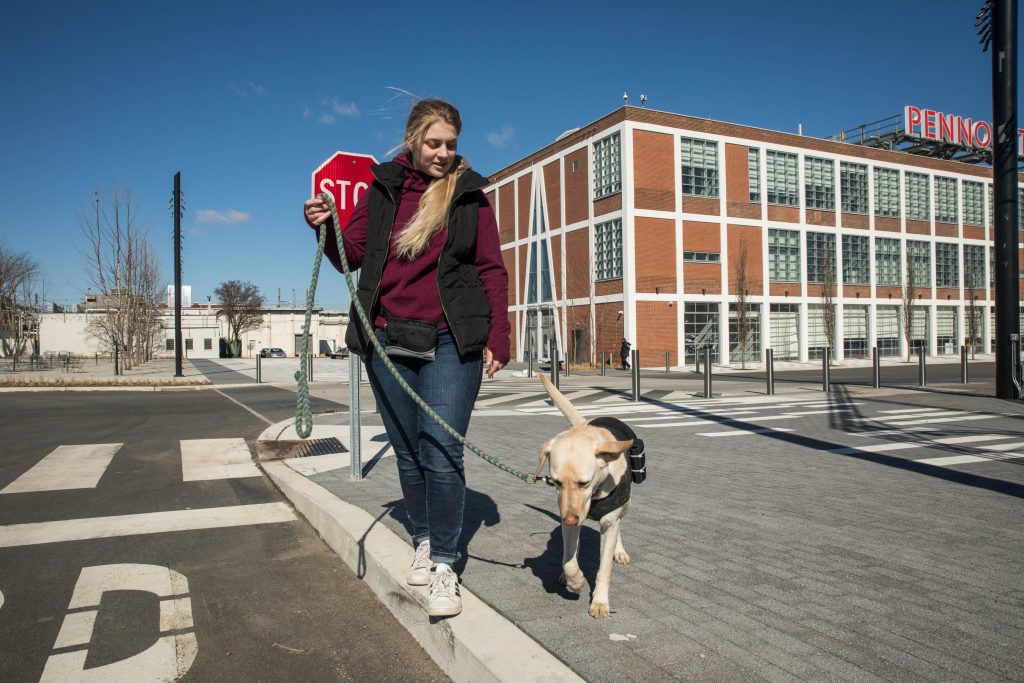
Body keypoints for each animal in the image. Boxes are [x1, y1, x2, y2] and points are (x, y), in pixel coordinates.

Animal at [536, 374, 630, 618]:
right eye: (556, 482)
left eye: (584, 483)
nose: (570, 519)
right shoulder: (568, 521)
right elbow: (569, 560)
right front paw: (575, 580)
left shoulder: (609, 522)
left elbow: (604, 568)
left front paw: (600, 601)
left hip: (624, 507)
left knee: (620, 524)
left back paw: (620, 550)